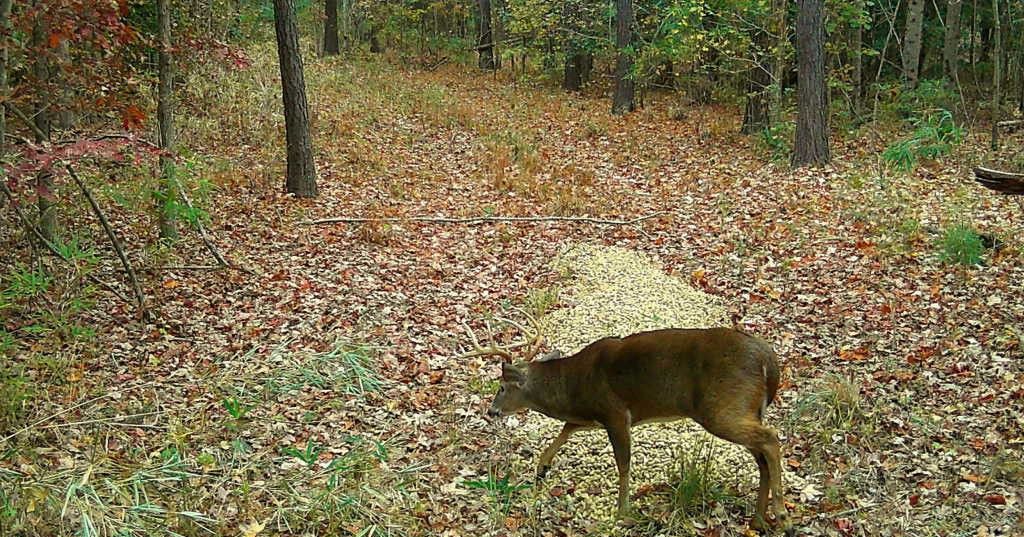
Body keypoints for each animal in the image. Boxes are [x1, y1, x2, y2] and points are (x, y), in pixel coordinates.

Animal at [460, 316, 794, 536]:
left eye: (502, 387)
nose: (491, 411)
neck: (573, 387)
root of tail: (768, 360)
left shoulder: (616, 413)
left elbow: (623, 464)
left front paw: (622, 512)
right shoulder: (591, 416)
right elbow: (566, 429)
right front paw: (542, 468)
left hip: (722, 407)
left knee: (771, 438)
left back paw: (781, 516)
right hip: (744, 409)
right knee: (762, 456)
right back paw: (759, 520)